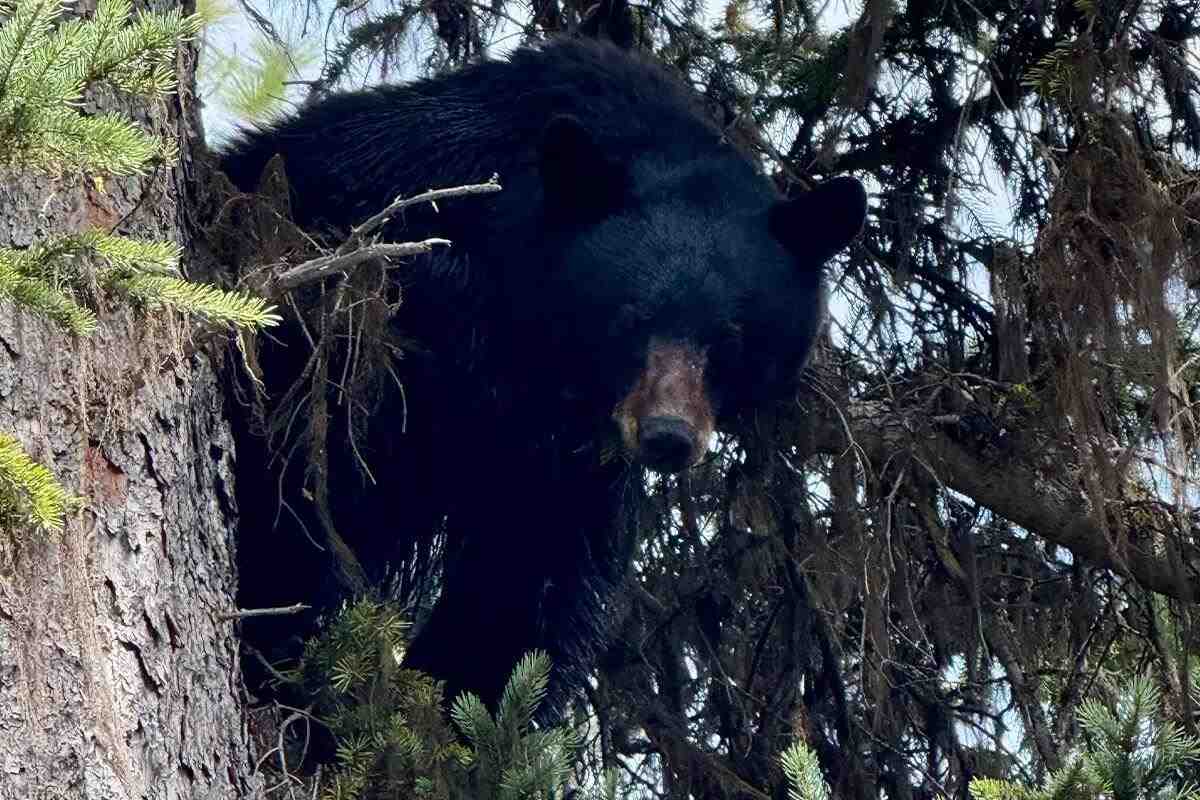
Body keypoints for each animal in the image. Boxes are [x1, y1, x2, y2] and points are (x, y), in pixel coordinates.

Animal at [220, 37, 867, 713]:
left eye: (729, 340)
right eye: (631, 318)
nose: (668, 435)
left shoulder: (570, 467)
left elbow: (526, 579)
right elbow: (303, 484)